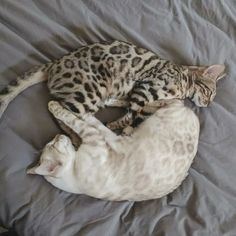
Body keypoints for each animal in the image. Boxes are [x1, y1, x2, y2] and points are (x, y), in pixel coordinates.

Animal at [0, 40, 225, 129]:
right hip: (90, 92)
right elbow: (132, 114)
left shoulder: (141, 96)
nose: (207, 104)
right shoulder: (146, 88)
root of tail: (54, 63)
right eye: (210, 93)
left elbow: (135, 110)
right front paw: (116, 125)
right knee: (60, 112)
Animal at [27, 99, 199, 201]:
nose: (58, 135)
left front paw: (57, 107)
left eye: (52, 144)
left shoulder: (92, 136)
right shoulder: (94, 137)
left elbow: (75, 119)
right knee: (172, 102)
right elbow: (78, 120)